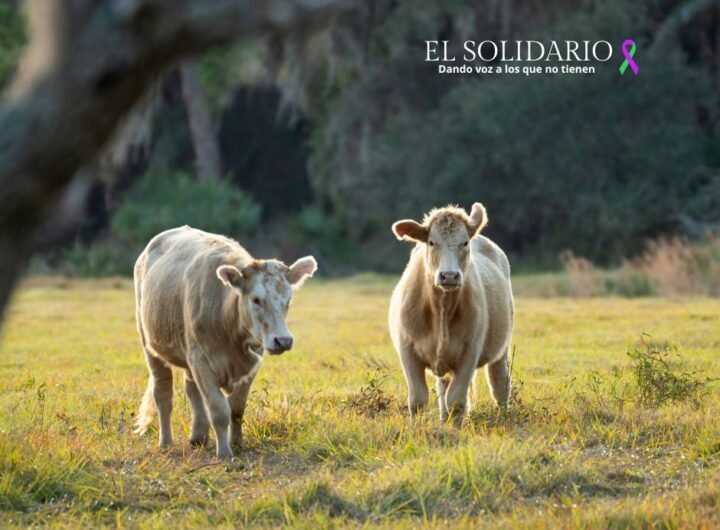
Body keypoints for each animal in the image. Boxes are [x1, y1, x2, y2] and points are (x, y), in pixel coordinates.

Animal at [134, 226, 316, 458]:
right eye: (256, 299)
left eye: (288, 300)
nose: (282, 340)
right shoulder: (201, 361)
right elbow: (219, 410)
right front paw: (224, 453)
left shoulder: (253, 360)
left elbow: (236, 408)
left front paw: (236, 443)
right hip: (150, 345)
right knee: (163, 393)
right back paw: (166, 442)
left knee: (191, 389)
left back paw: (199, 436)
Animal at [388, 202, 512, 424]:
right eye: (431, 242)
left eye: (464, 242)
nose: (449, 276)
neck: (441, 309)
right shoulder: (407, 350)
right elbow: (418, 400)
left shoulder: (470, 352)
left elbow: (456, 401)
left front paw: (454, 430)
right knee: (443, 391)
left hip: (501, 347)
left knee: (499, 383)